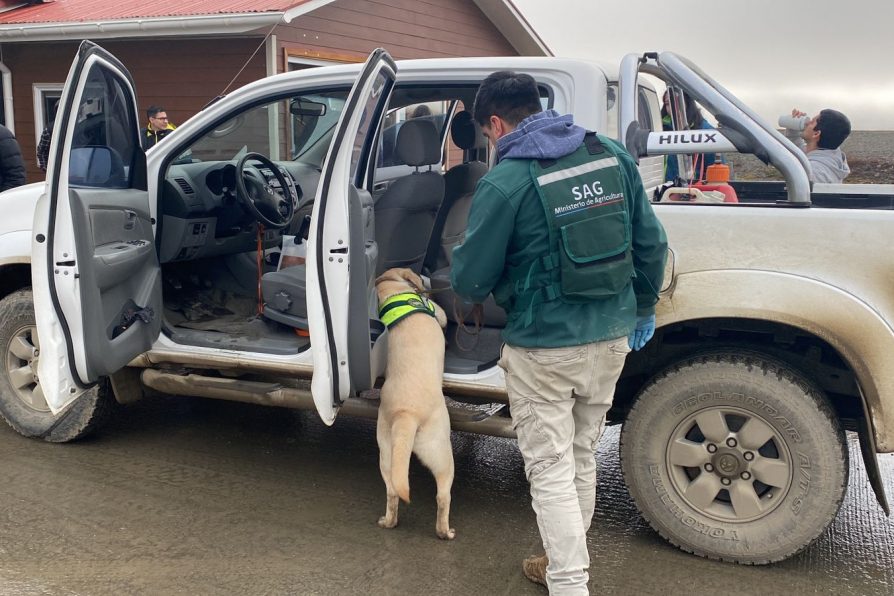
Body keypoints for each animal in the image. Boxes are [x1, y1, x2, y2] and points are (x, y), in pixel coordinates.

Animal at [372, 268, 456, 536]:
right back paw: (445, 532)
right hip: (442, 454)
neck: (391, 288)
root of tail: (405, 415)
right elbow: (443, 315)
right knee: (443, 496)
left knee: (392, 492)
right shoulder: (437, 311)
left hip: (387, 455)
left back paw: (388, 522)